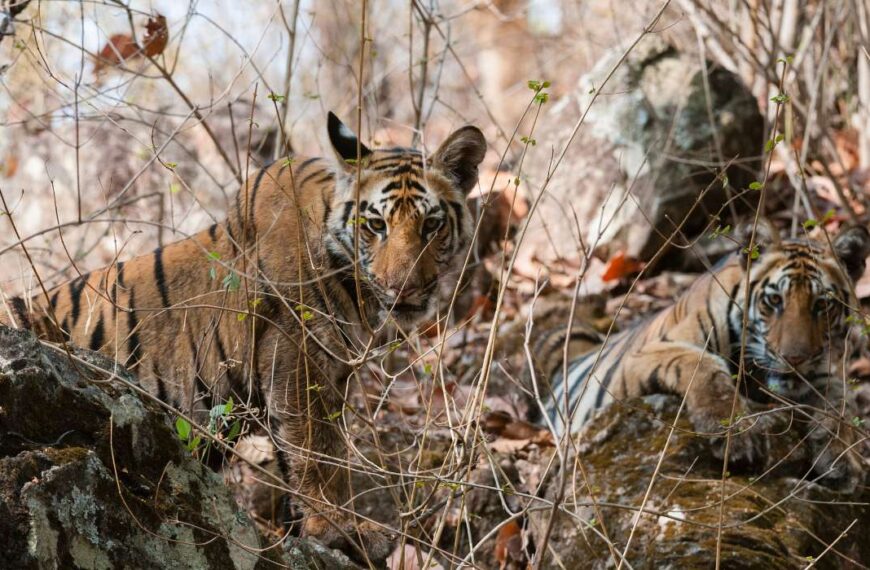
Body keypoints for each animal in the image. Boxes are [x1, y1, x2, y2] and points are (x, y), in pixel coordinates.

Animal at [0, 112, 487, 562]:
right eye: (376, 226)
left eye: (432, 226)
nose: (404, 288)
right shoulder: (297, 360)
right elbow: (319, 455)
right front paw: (338, 530)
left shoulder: (331, 371)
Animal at [532, 226, 870, 491]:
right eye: (775, 300)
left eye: (822, 305)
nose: (794, 358)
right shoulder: (649, 353)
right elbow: (703, 366)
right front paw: (736, 437)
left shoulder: (820, 372)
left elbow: (841, 404)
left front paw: (844, 459)